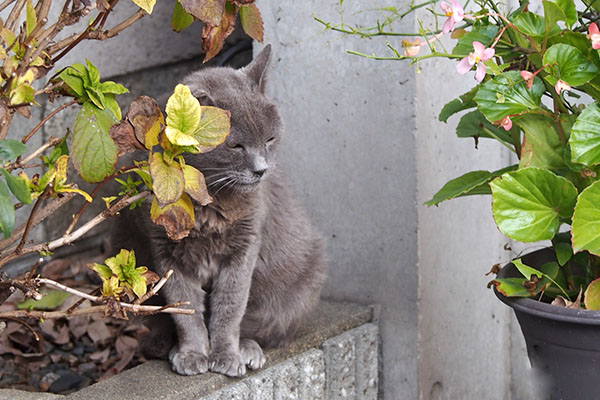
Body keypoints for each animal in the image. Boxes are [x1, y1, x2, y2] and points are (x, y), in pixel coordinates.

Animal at [112, 45, 328, 376]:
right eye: (236, 146)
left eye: (270, 139)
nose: (261, 169)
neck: (208, 201)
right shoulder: (165, 252)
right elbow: (184, 307)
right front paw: (192, 354)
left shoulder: (244, 247)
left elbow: (230, 306)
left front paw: (226, 355)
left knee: (264, 326)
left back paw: (248, 349)